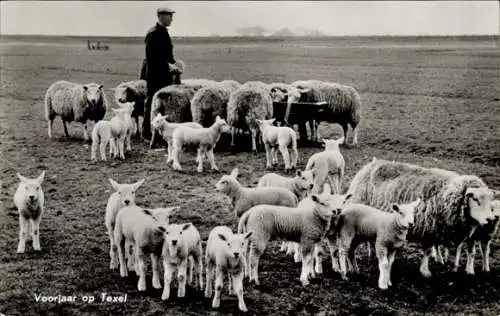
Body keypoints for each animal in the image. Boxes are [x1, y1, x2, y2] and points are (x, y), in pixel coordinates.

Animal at [348, 157, 496, 276]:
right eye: (475, 199)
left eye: (490, 201)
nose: (490, 220)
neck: (445, 195)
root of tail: (369, 165)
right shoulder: (428, 228)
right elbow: (428, 251)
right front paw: (425, 271)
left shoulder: (434, 230)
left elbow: (430, 250)